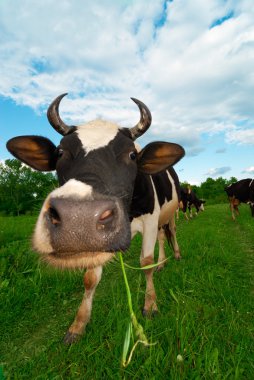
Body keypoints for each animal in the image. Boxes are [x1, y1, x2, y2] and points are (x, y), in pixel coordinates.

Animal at [6, 93, 185, 344]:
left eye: (132, 155)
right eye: (60, 152)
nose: (78, 217)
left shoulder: (150, 219)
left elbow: (145, 263)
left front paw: (150, 304)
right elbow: (90, 277)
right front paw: (78, 324)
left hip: (171, 212)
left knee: (170, 232)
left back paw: (174, 255)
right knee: (161, 236)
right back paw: (163, 263)